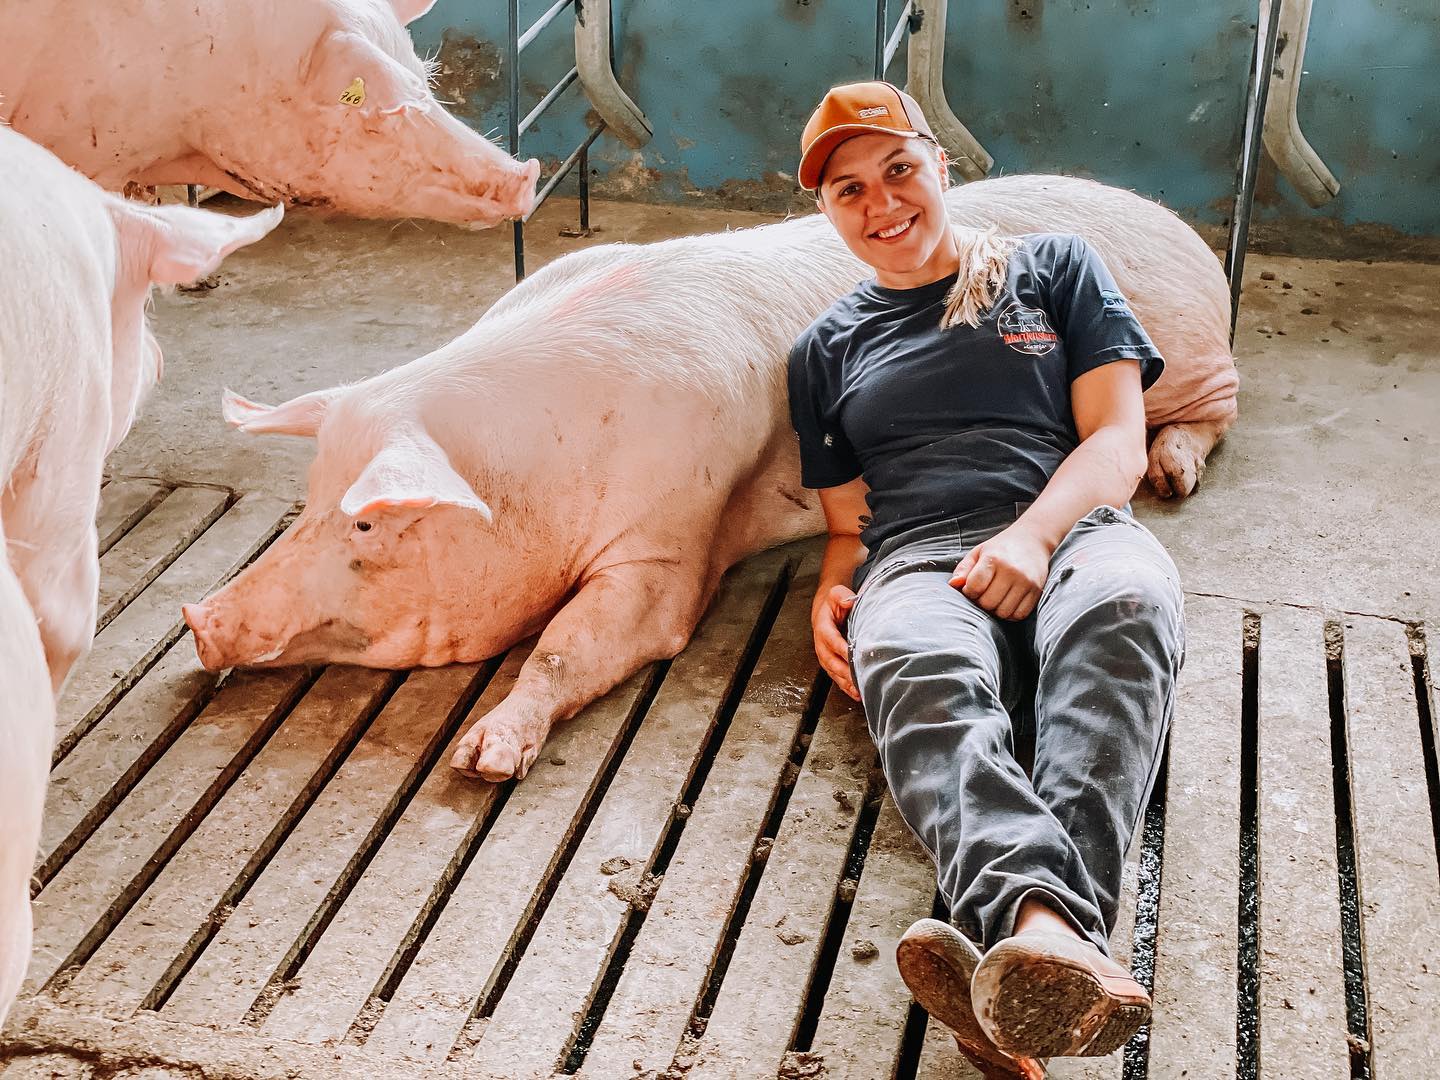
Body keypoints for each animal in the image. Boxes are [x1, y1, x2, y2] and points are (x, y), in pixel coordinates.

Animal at [180, 175, 1238, 789]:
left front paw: (483, 758)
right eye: (314, 496)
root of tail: (1175, 223)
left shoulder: (670, 547)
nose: (196, 616)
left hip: (1189, 356)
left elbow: (568, 645)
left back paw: (1171, 475)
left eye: (369, 527)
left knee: (1206, 413)